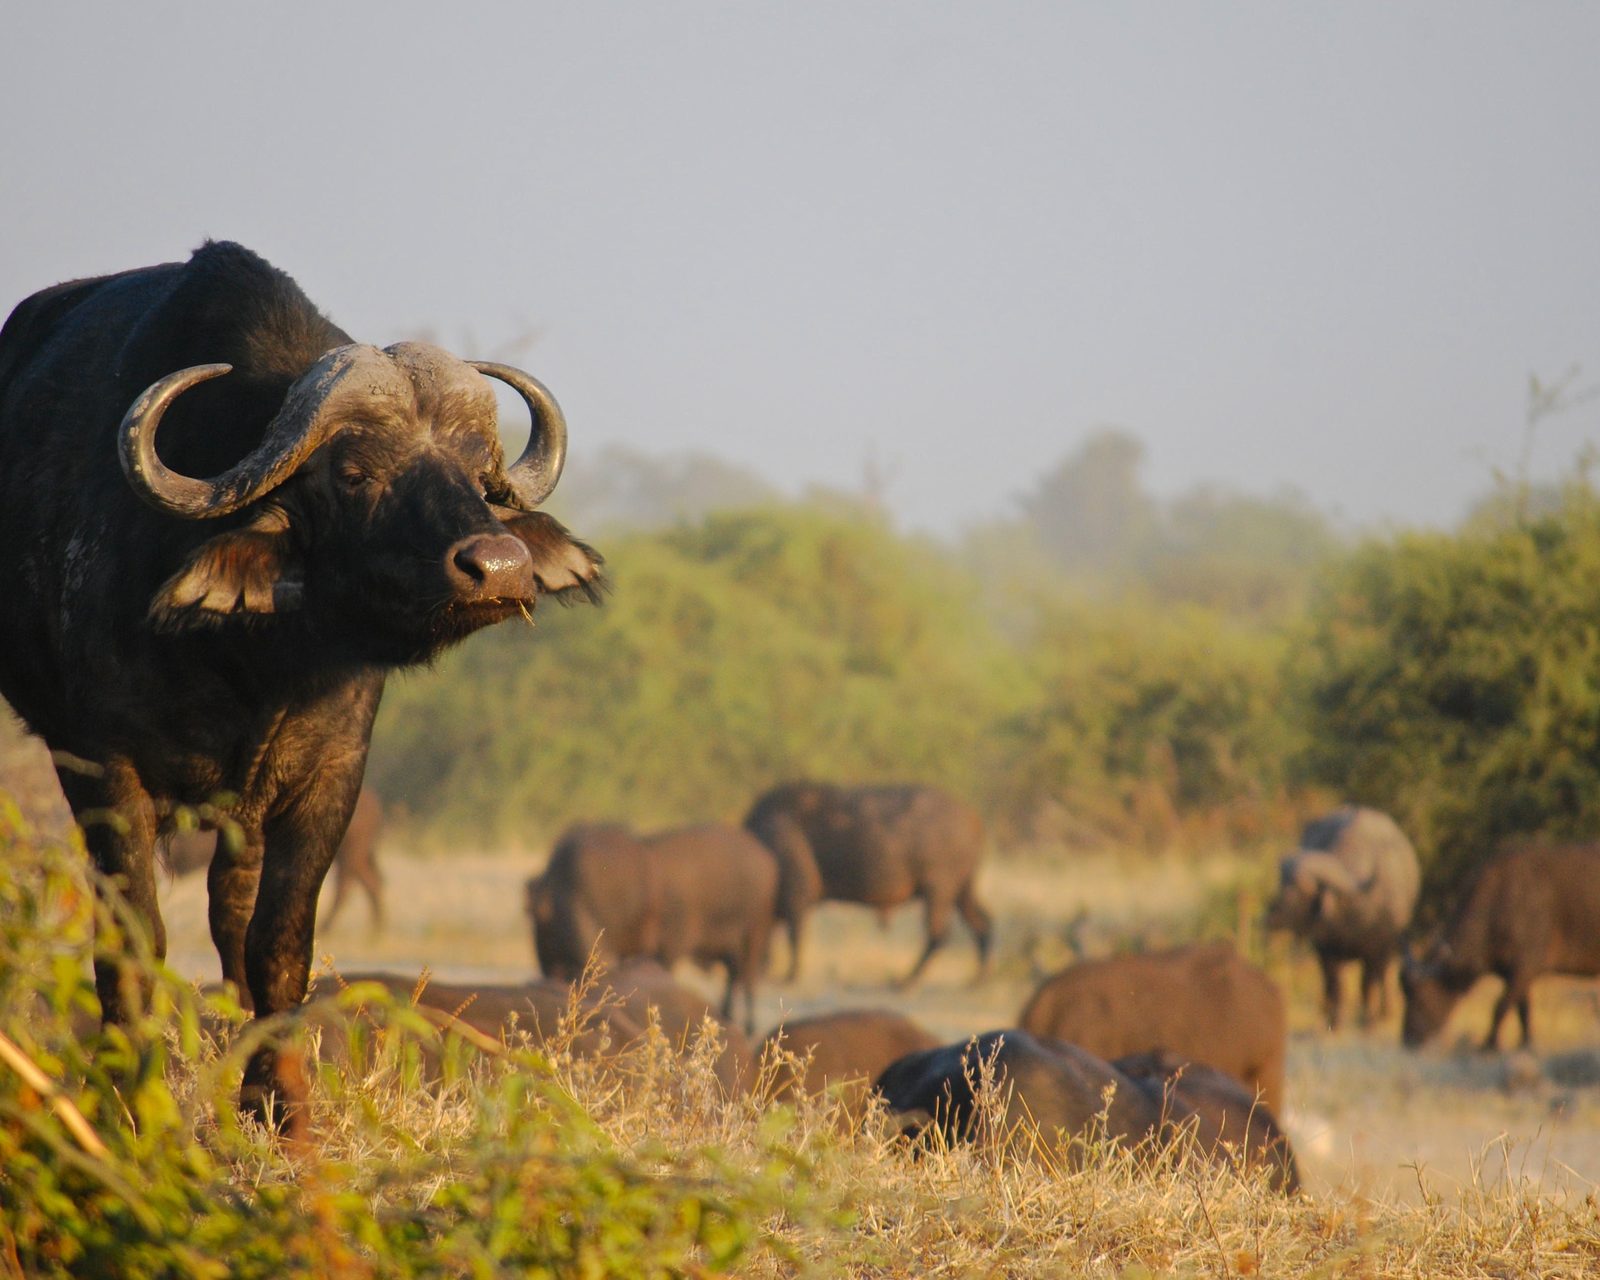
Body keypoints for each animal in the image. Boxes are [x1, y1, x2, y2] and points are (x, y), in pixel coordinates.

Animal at [0, 242, 600, 1133]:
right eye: (351, 472)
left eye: (476, 471)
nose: (498, 567)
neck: (250, 663)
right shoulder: (104, 771)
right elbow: (134, 940)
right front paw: (130, 1101)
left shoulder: (327, 779)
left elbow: (277, 943)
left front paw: (279, 1102)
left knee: (230, 914)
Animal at [743, 782, 992, 984]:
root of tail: (972, 818)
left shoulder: (797, 895)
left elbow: (794, 936)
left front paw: (790, 976)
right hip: (961, 891)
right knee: (982, 922)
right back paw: (977, 979)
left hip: (939, 890)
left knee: (938, 934)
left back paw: (906, 981)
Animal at [1266, 805, 1420, 1028]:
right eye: (1282, 882)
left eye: (1304, 888)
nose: (1271, 917)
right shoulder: (1328, 951)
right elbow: (1336, 986)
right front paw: (1336, 1021)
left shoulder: (1376, 950)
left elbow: (1368, 984)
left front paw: (1369, 1020)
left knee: (1383, 976)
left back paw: (1385, 1012)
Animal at [1401, 841, 1600, 1050]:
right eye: (1405, 995)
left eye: (1421, 998)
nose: (1408, 1039)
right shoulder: (1516, 974)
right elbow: (1523, 1010)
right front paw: (1525, 1043)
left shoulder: (1526, 967)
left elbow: (1500, 1006)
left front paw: (1489, 1045)